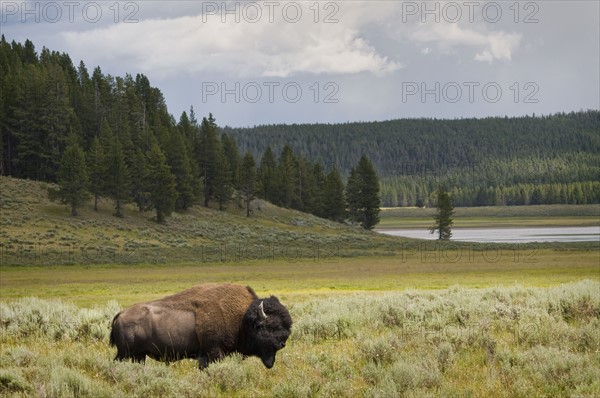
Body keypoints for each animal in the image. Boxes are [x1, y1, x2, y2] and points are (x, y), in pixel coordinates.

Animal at [111, 284, 294, 368]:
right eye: (271, 326)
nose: (282, 343)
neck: (242, 318)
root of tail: (120, 314)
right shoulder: (213, 352)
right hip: (126, 354)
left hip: (138, 355)